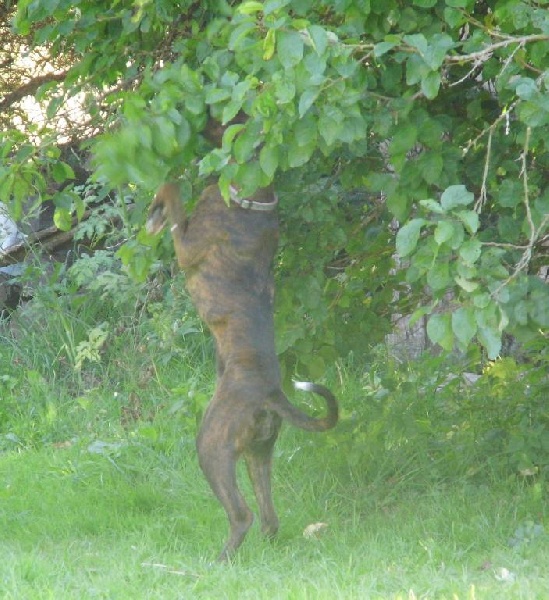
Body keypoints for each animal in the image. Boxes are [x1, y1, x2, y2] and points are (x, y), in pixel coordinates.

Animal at [149, 179, 338, 564]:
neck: (252, 201)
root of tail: (271, 393)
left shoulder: (187, 248)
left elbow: (172, 192)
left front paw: (157, 211)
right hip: (258, 453)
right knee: (269, 519)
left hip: (213, 447)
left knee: (242, 514)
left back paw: (221, 561)